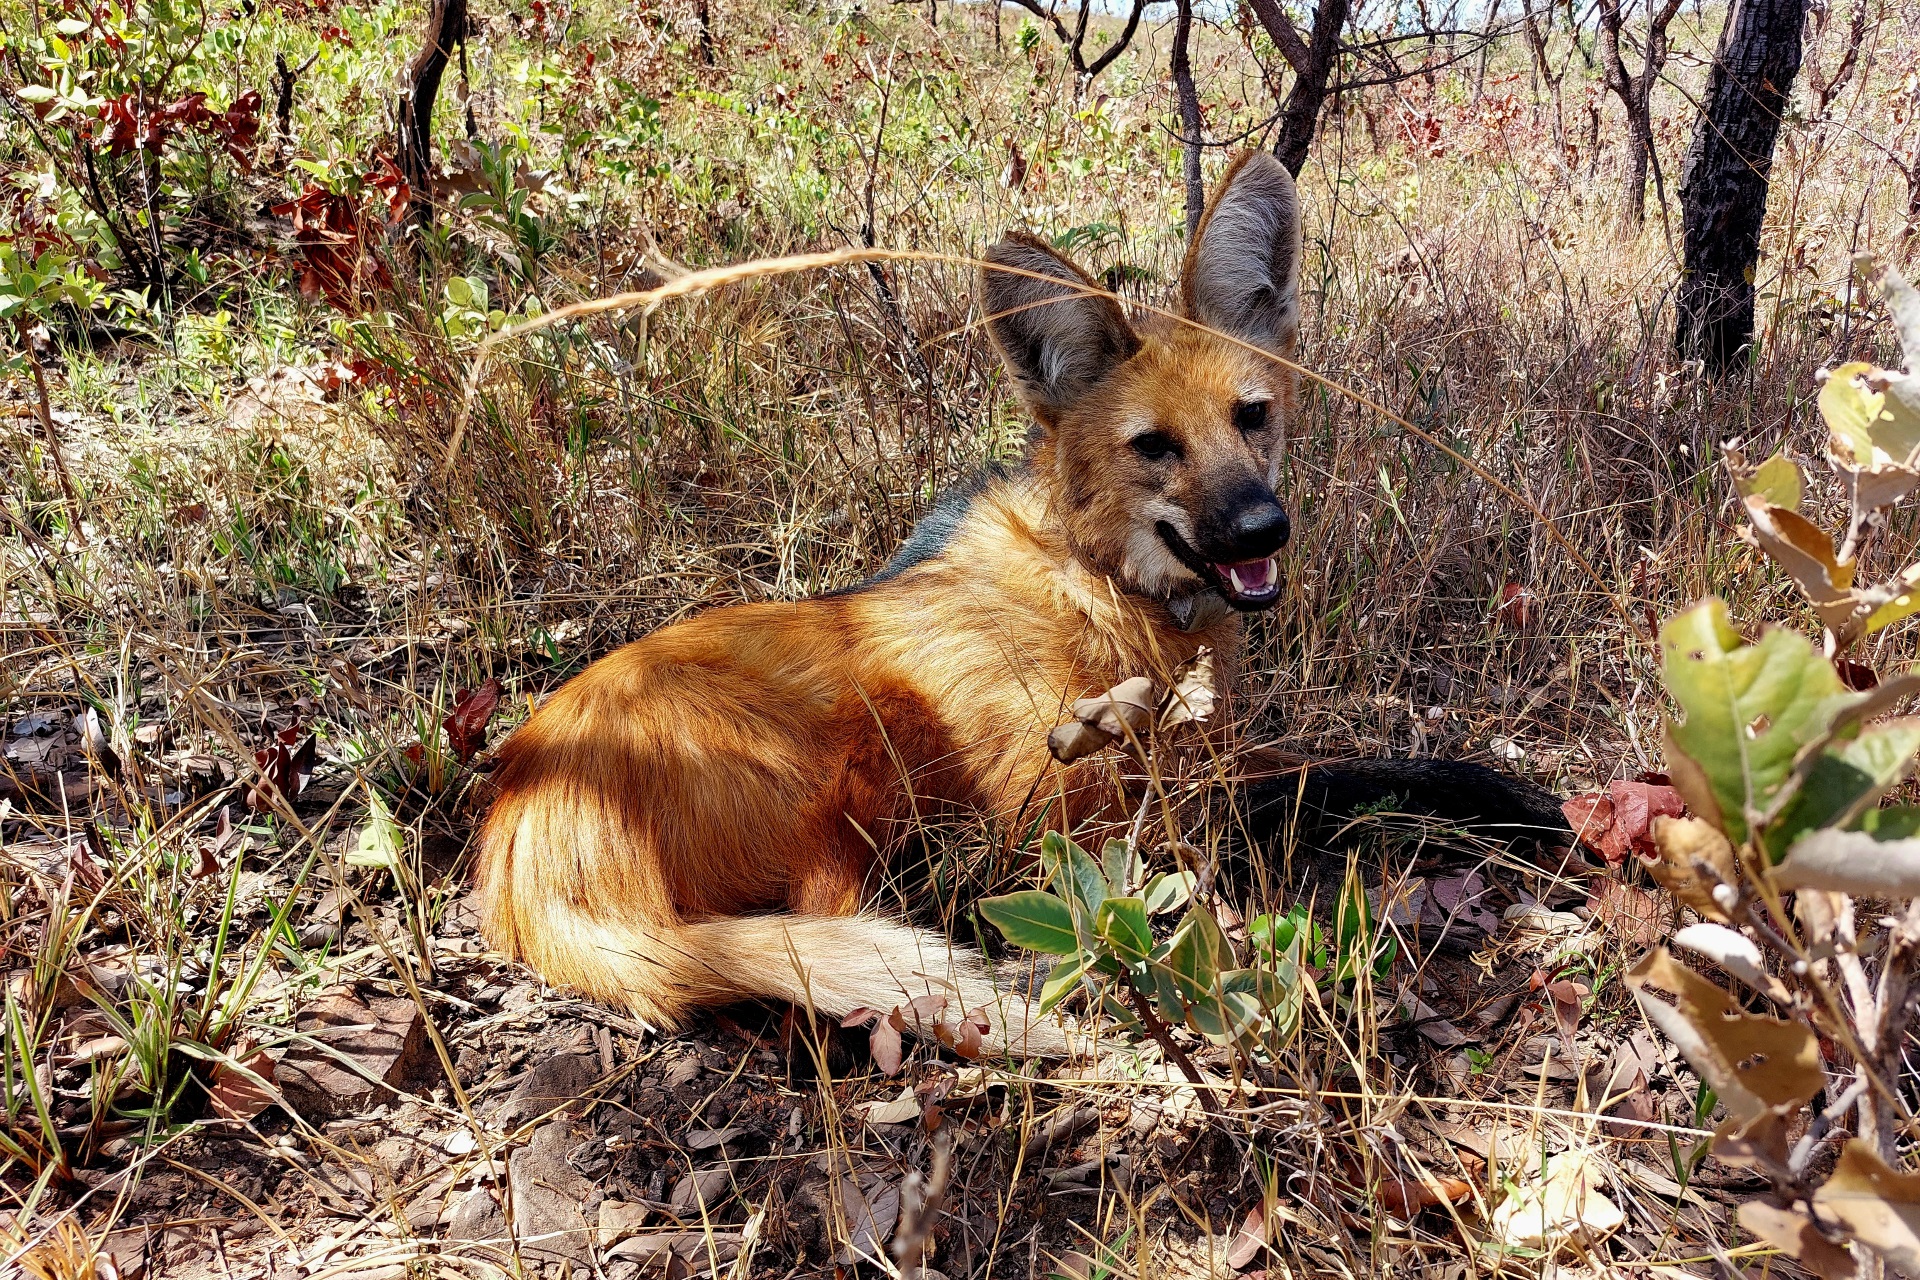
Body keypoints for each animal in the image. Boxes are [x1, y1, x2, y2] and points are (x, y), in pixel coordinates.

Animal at [472, 152, 1566, 1051]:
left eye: (1251, 417)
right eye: (1154, 445)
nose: (1262, 530)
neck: (1102, 585)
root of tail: (521, 842)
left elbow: (1350, 762)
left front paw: (1510, 797)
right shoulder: (1071, 803)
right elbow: (1309, 782)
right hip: (849, 754)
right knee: (846, 926)